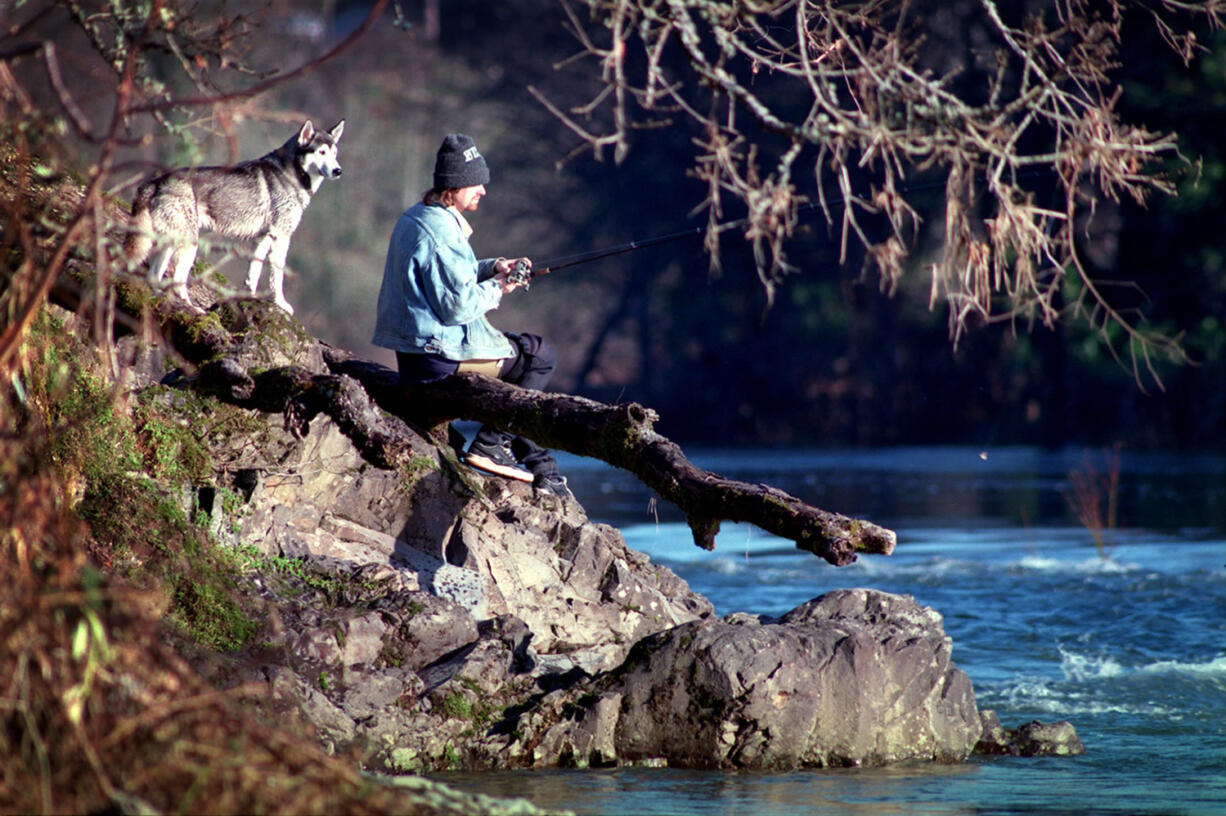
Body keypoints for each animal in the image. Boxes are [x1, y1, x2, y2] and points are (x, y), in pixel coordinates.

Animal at [123, 119, 343, 312]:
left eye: (334, 153)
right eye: (322, 152)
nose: (338, 171)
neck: (291, 175)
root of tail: (156, 181)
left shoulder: (262, 239)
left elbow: (253, 274)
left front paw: (251, 298)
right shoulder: (281, 237)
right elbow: (277, 277)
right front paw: (281, 304)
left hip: (170, 243)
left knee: (154, 276)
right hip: (189, 244)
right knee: (177, 281)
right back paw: (194, 309)